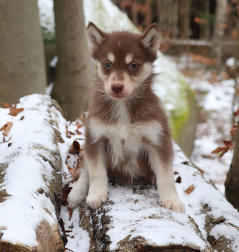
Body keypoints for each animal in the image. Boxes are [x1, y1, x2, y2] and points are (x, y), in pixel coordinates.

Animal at [67, 22, 185, 214]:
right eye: (107, 64)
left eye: (134, 65)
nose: (116, 87)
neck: (122, 107)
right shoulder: (95, 137)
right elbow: (96, 171)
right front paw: (96, 194)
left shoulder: (158, 140)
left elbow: (166, 175)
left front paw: (171, 199)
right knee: (85, 169)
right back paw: (76, 193)